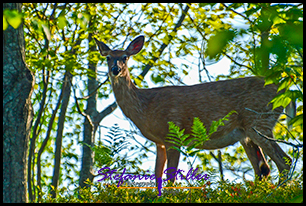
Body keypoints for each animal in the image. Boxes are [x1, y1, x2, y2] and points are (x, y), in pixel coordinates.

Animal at [94, 35, 292, 185]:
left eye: (125, 57)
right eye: (108, 57)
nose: (115, 69)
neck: (145, 108)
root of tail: (284, 90)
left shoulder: (173, 134)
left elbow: (170, 177)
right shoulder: (159, 142)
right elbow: (157, 176)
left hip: (259, 121)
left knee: (284, 161)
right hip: (246, 133)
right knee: (263, 169)